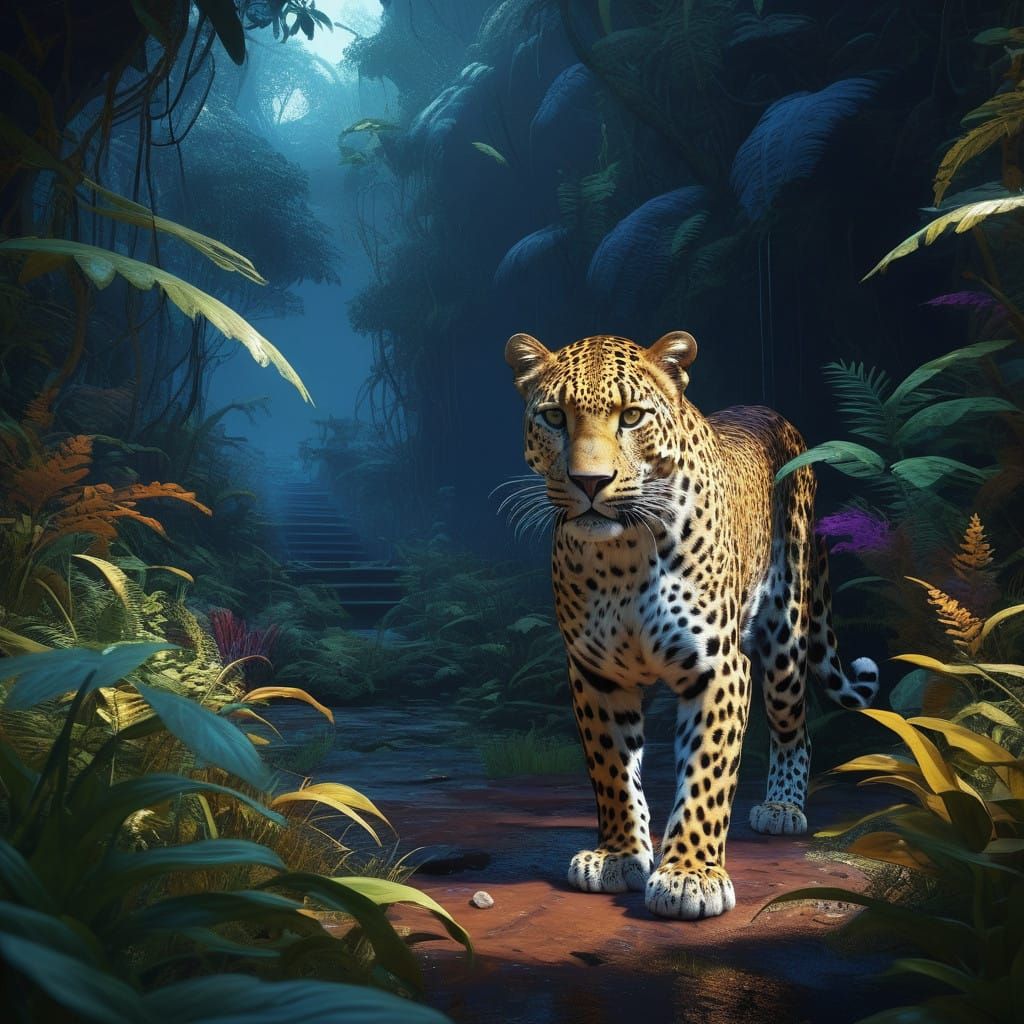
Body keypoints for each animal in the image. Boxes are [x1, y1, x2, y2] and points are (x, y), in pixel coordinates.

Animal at [503, 329, 879, 921]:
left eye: (631, 416)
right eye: (555, 417)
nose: (590, 482)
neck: (622, 557)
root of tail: (772, 414)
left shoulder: (719, 668)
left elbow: (706, 775)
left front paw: (690, 876)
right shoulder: (594, 674)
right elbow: (612, 771)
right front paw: (618, 857)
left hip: (786, 634)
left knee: (794, 725)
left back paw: (781, 807)